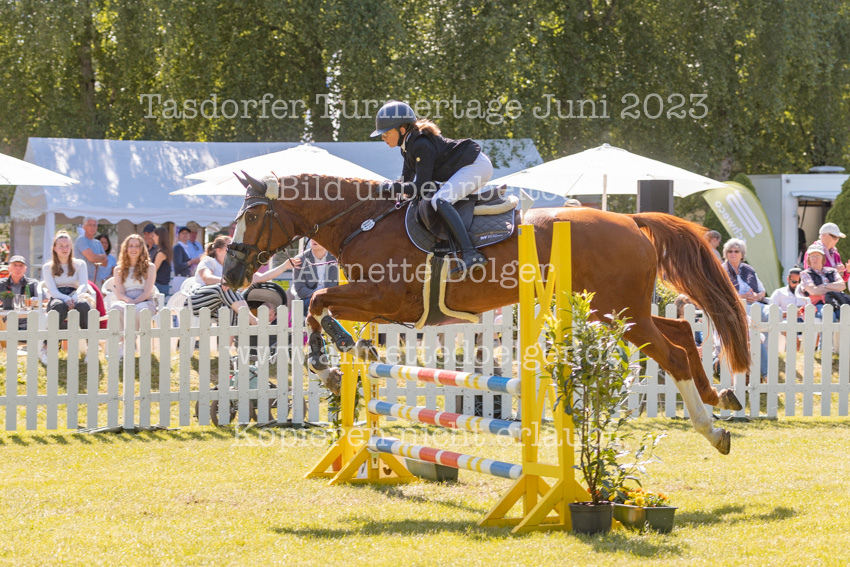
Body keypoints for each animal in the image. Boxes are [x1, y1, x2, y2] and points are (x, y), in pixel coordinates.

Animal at [223, 173, 750, 455]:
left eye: (252, 215)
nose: (230, 273)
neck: (361, 221)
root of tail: (631, 220)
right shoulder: (371, 297)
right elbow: (319, 304)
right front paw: (342, 358)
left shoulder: (388, 298)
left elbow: (317, 303)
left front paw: (331, 360)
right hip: (616, 312)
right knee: (680, 330)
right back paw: (721, 396)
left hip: (618, 312)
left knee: (672, 354)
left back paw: (714, 430)